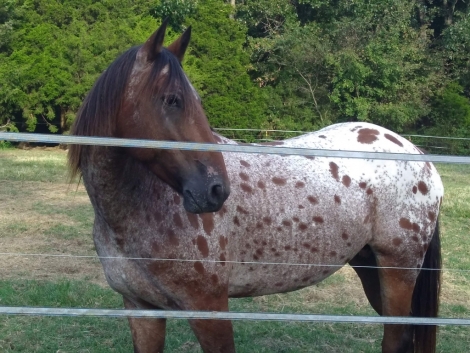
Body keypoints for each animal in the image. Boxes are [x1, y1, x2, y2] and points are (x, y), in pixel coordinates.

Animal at [68, 22, 442, 352]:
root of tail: (417, 154)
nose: (216, 189)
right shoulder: (141, 308)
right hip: (371, 269)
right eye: (172, 99)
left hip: (398, 269)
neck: (137, 211)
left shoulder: (209, 308)